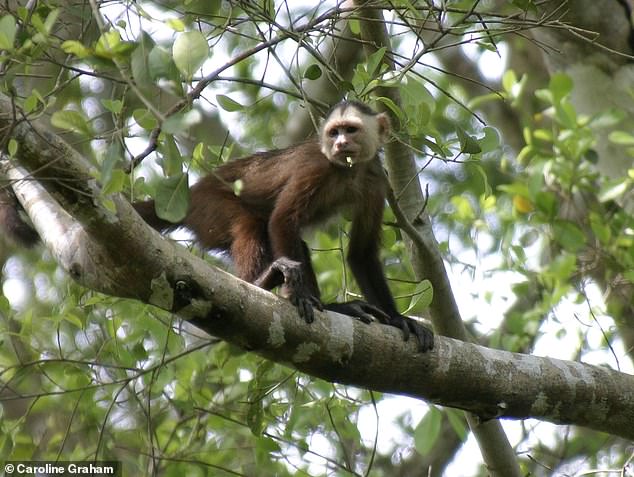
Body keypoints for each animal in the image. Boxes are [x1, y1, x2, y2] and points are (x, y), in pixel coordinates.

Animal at [0, 100, 434, 352]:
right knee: (250, 224)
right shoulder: (316, 166)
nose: (341, 144)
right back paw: (268, 284)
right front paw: (307, 300)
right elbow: (282, 219)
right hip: (210, 208)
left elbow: (361, 252)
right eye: (334, 132)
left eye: (352, 130)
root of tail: (191, 192)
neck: (346, 169)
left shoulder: (375, 180)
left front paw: (398, 319)